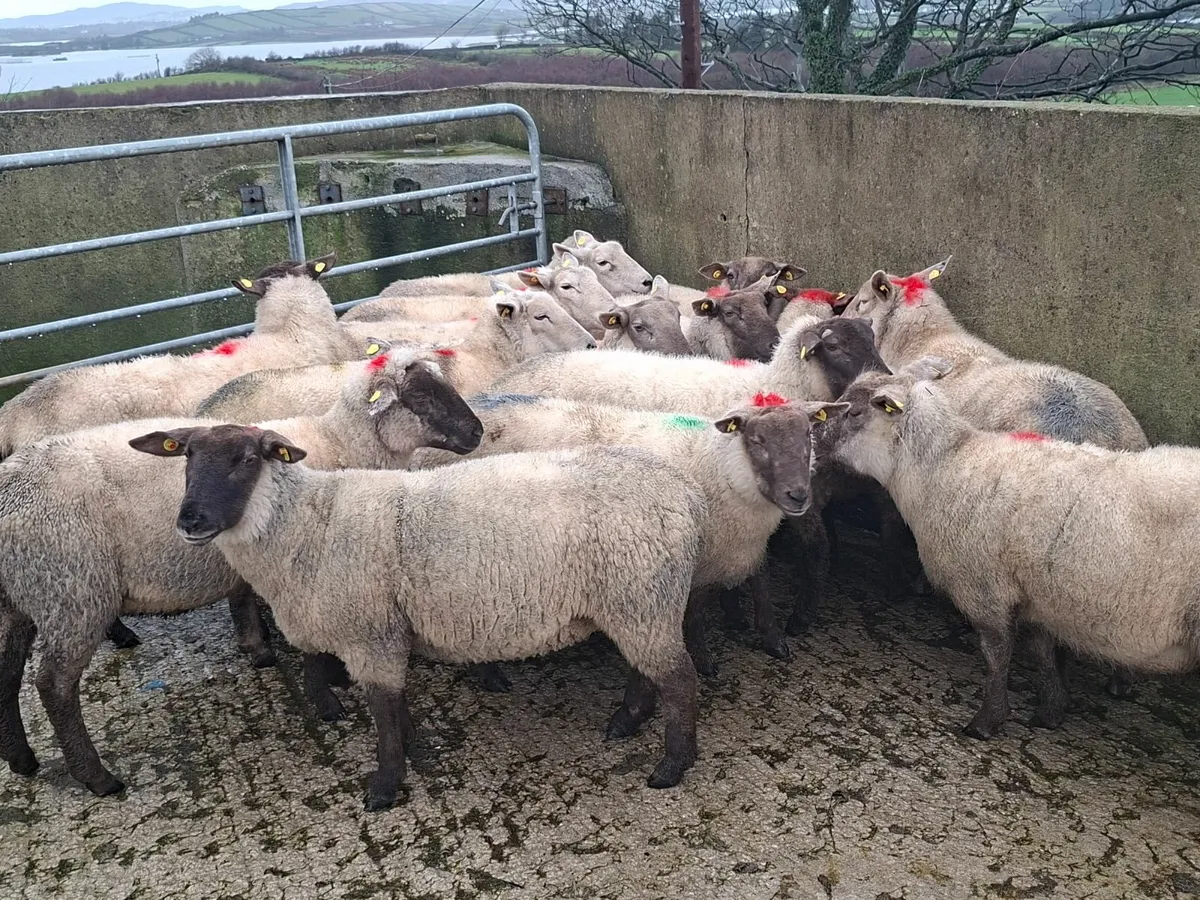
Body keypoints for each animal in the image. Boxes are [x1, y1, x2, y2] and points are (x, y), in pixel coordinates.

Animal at [0, 350, 483, 796]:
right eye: (420, 396)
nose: (477, 431)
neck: (339, 440)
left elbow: (248, 600)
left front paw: (262, 650)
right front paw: (327, 685)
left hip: (20, 598)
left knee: (8, 672)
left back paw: (21, 758)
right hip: (72, 591)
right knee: (54, 685)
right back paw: (96, 776)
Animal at [137, 427, 708, 810]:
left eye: (246, 458)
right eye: (186, 456)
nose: (190, 520)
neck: (306, 524)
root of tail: (684, 491)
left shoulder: (371, 635)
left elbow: (383, 712)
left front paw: (385, 786)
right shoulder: (383, 632)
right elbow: (395, 707)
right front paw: (411, 749)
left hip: (642, 598)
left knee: (680, 682)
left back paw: (671, 766)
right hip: (638, 601)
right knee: (647, 673)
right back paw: (626, 722)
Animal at [412, 392, 845, 664]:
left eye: (808, 433)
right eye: (757, 439)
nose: (798, 495)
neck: (719, 466)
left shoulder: (743, 549)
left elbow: (762, 589)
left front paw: (772, 640)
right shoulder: (694, 564)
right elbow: (695, 616)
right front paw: (706, 661)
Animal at [824, 357, 1200, 739]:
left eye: (854, 411)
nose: (816, 432)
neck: (944, 468)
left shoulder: (984, 587)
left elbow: (996, 655)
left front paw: (987, 720)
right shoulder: (1034, 591)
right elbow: (1042, 651)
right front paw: (1052, 708)